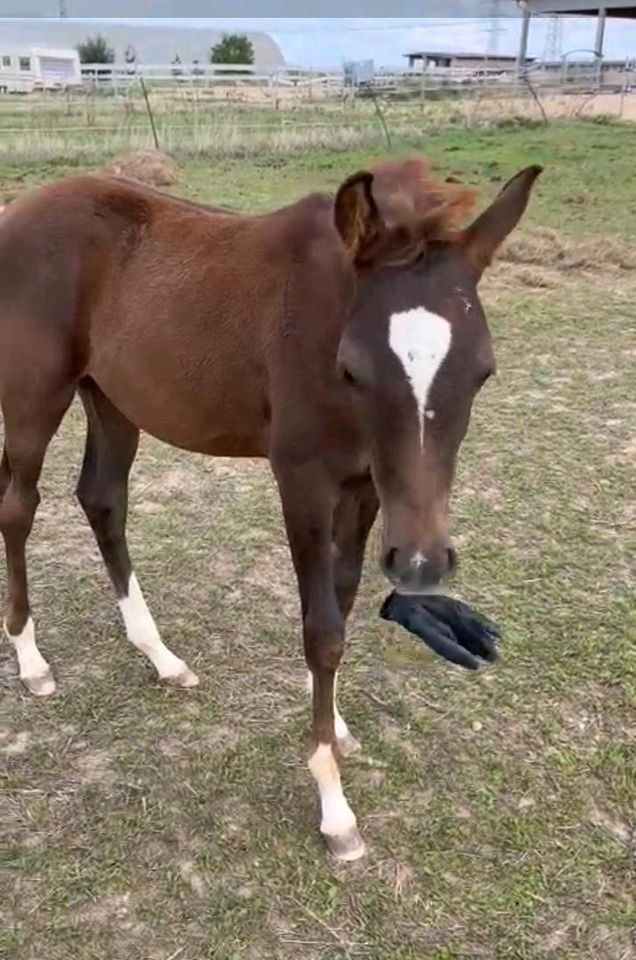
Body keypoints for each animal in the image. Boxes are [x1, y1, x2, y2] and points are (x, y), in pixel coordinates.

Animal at [1, 158, 540, 864]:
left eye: (483, 371)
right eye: (353, 368)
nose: (423, 565)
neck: (325, 311)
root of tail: (17, 210)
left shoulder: (367, 487)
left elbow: (341, 603)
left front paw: (335, 724)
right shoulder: (302, 482)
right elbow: (322, 629)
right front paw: (335, 808)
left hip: (112, 398)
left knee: (103, 499)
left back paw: (160, 655)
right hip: (34, 395)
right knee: (19, 507)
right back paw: (31, 660)